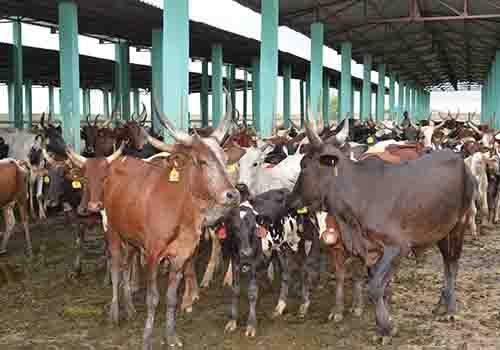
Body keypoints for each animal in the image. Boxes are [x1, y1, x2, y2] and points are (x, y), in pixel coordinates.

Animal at [65, 97, 240, 348]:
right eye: (201, 161)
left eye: (225, 160)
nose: (233, 194)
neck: (180, 212)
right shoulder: (152, 254)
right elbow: (152, 298)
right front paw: (147, 338)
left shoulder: (180, 256)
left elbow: (171, 297)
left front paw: (172, 336)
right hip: (113, 232)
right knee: (116, 267)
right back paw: (115, 313)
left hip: (131, 238)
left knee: (126, 265)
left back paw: (129, 308)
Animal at [290, 119, 472, 342]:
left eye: (304, 165)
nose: (291, 201)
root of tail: (458, 159)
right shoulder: (370, 250)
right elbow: (375, 285)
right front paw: (380, 323)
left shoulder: (398, 247)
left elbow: (375, 287)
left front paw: (387, 328)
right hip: (441, 231)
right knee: (447, 263)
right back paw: (440, 305)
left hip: (459, 225)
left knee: (453, 264)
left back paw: (450, 310)